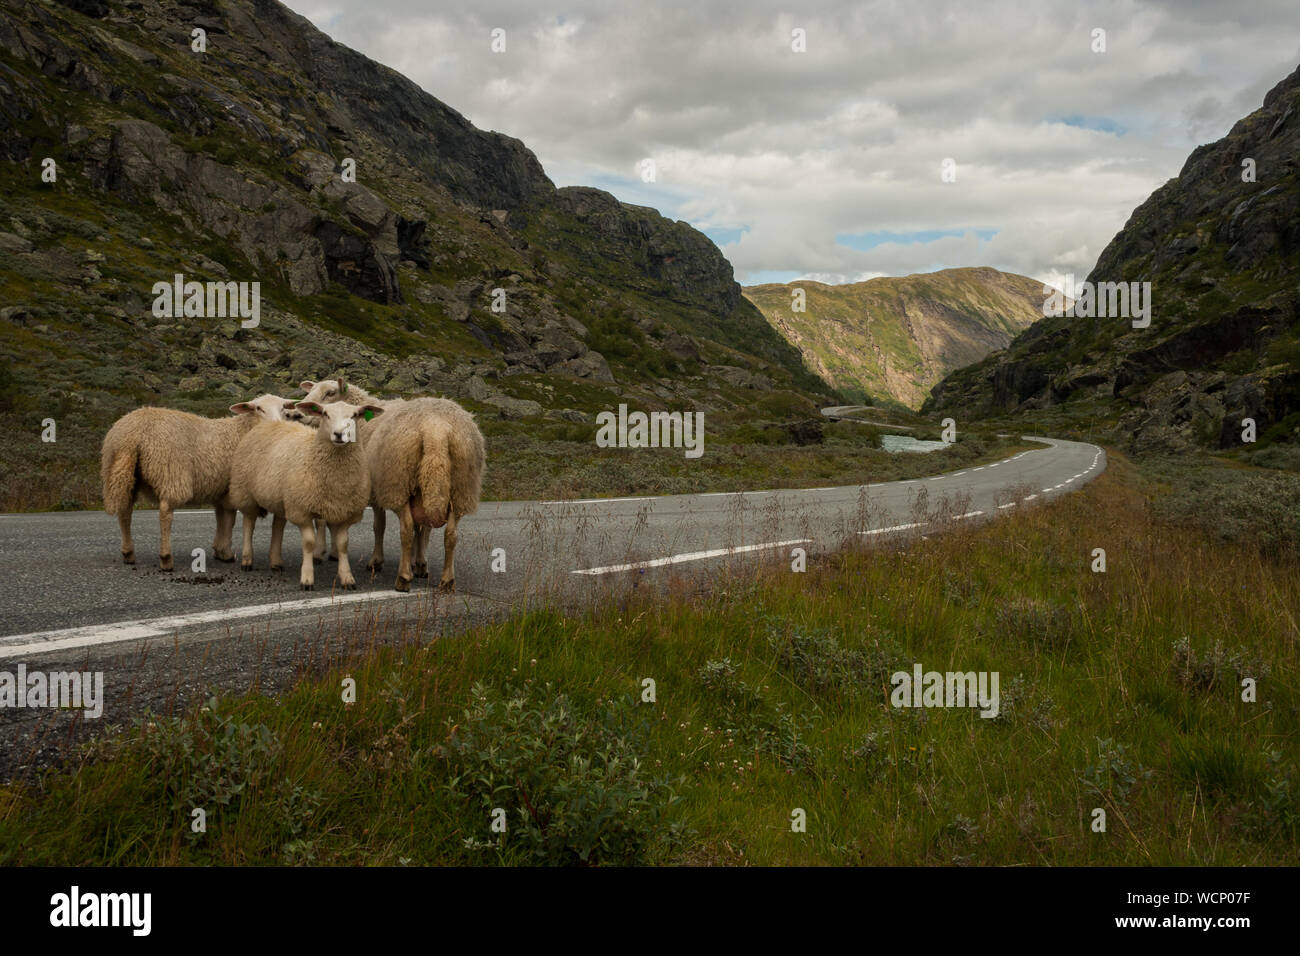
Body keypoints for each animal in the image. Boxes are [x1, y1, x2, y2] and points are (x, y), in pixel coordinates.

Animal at [102, 395, 295, 567]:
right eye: (258, 408)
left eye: (283, 409)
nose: (277, 424)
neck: (242, 431)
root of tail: (132, 434)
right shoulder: (232, 488)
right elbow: (230, 519)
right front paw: (226, 552)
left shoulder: (220, 488)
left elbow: (221, 517)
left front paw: (219, 550)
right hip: (171, 472)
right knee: (165, 512)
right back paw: (166, 558)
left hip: (121, 473)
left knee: (125, 511)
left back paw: (128, 553)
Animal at [227, 398, 384, 590]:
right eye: (325, 414)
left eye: (355, 415)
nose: (339, 434)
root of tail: (268, 424)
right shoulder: (301, 510)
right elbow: (309, 544)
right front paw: (307, 579)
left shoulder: (345, 512)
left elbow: (343, 545)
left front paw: (347, 578)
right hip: (245, 492)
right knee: (249, 524)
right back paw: (247, 560)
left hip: (281, 498)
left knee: (278, 526)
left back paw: (276, 562)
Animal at [301, 374, 486, 590]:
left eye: (330, 393)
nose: (299, 415)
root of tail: (436, 427)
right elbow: (422, 529)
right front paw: (419, 563)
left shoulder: (376, 490)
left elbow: (379, 526)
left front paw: (376, 561)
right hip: (459, 487)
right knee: (450, 534)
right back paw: (446, 580)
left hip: (398, 482)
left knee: (405, 528)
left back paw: (403, 578)